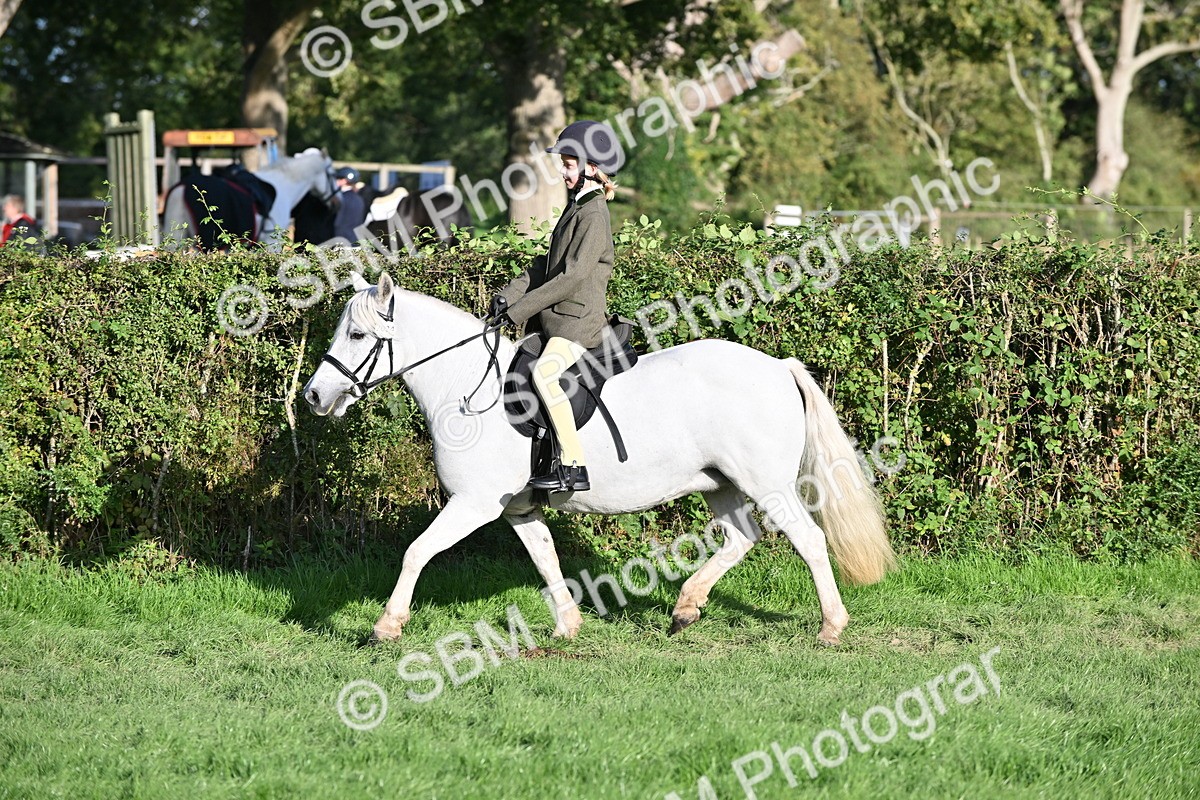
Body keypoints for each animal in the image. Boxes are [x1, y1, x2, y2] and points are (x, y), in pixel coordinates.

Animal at [301, 272, 896, 646]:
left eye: (357, 334)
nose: (313, 396)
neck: (465, 384)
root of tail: (777, 366)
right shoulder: (518, 508)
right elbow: (545, 558)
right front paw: (568, 626)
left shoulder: (473, 504)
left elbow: (416, 553)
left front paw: (387, 625)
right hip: (719, 483)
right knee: (740, 538)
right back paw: (685, 608)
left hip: (765, 481)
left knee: (809, 540)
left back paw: (831, 626)